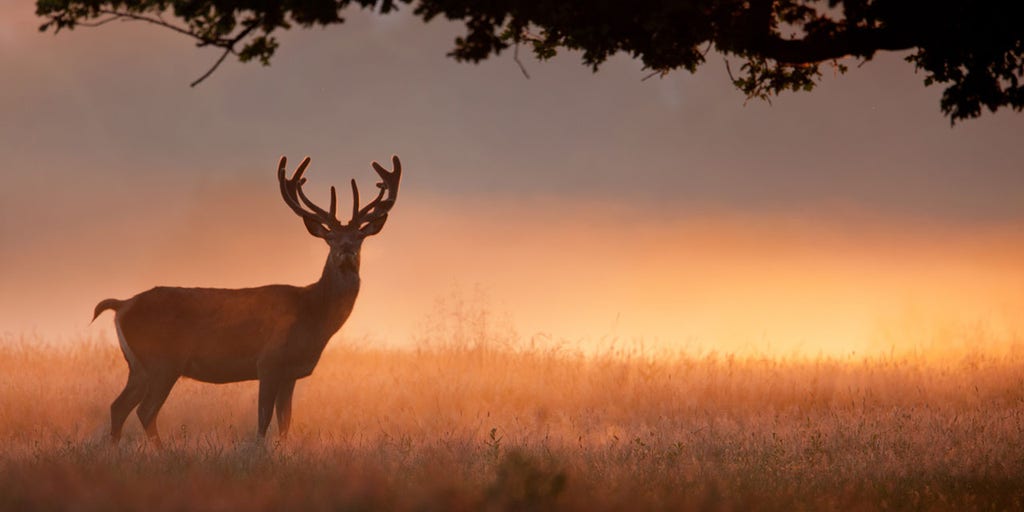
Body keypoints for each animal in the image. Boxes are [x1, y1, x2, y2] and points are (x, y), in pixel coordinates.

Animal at [92, 154, 402, 447]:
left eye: (360, 236)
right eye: (330, 238)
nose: (346, 251)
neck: (313, 314)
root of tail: (122, 305)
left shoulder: (291, 373)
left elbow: (286, 422)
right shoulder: (269, 361)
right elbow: (263, 420)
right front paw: (258, 452)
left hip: (139, 366)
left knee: (118, 407)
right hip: (162, 361)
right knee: (145, 411)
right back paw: (163, 453)